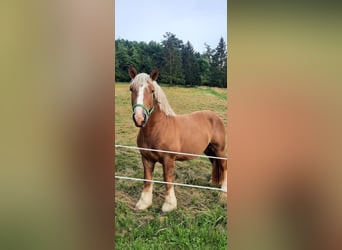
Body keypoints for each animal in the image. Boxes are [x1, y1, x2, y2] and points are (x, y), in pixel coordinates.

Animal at [128, 65, 227, 212]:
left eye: (152, 90)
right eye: (131, 89)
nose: (139, 118)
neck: (158, 128)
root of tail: (215, 116)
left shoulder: (168, 159)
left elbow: (168, 179)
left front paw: (169, 205)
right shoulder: (146, 158)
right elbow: (147, 179)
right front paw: (144, 203)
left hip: (219, 149)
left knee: (224, 165)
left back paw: (223, 192)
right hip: (209, 150)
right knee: (215, 163)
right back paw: (213, 182)